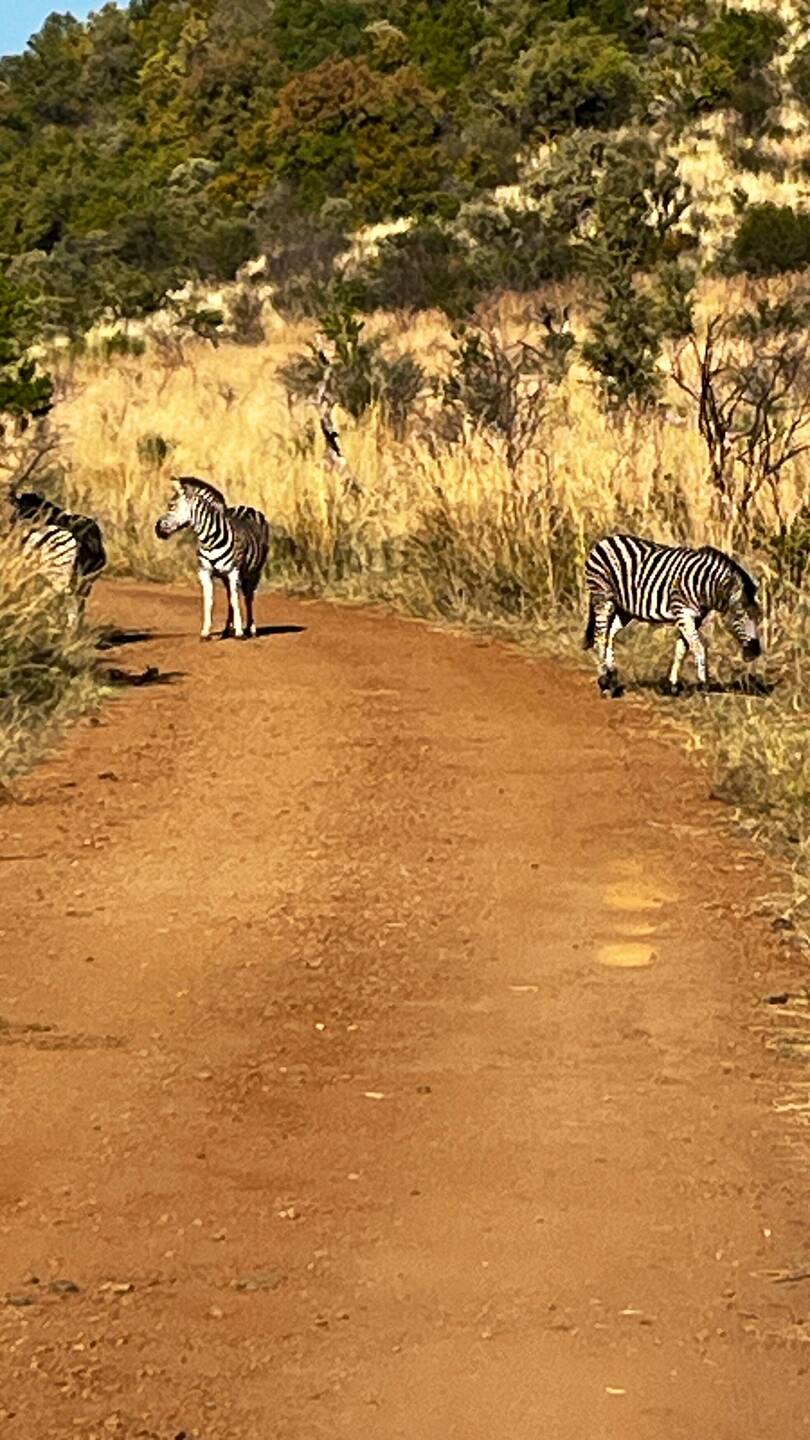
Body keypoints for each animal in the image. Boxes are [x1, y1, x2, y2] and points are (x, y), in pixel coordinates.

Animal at [154, 476, 270, 639]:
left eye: (171, 506)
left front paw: (240, 633)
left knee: (248, 597)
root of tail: (246, 507)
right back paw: (227, 630)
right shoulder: (204, 572)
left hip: (255, 572)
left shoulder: (233, 571)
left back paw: (251, 630)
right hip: (226, 576)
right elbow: (209, 601)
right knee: (230, 596)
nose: (157, 529)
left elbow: (236, 600)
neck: (209, 540)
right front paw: (205, 632)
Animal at [583, 533, 762, 697]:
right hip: (602, 597)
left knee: (610, 635)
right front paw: (704, 686)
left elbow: (681, 649)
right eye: (739, 617)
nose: (754, 653)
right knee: (600, 636)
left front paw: (673, 685)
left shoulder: (694, 618)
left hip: (624, 609)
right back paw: (604, 682)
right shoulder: (683, 613)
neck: (703, 586)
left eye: (758, 617)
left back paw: (612, 677)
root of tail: (606, 540)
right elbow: (698, 648)